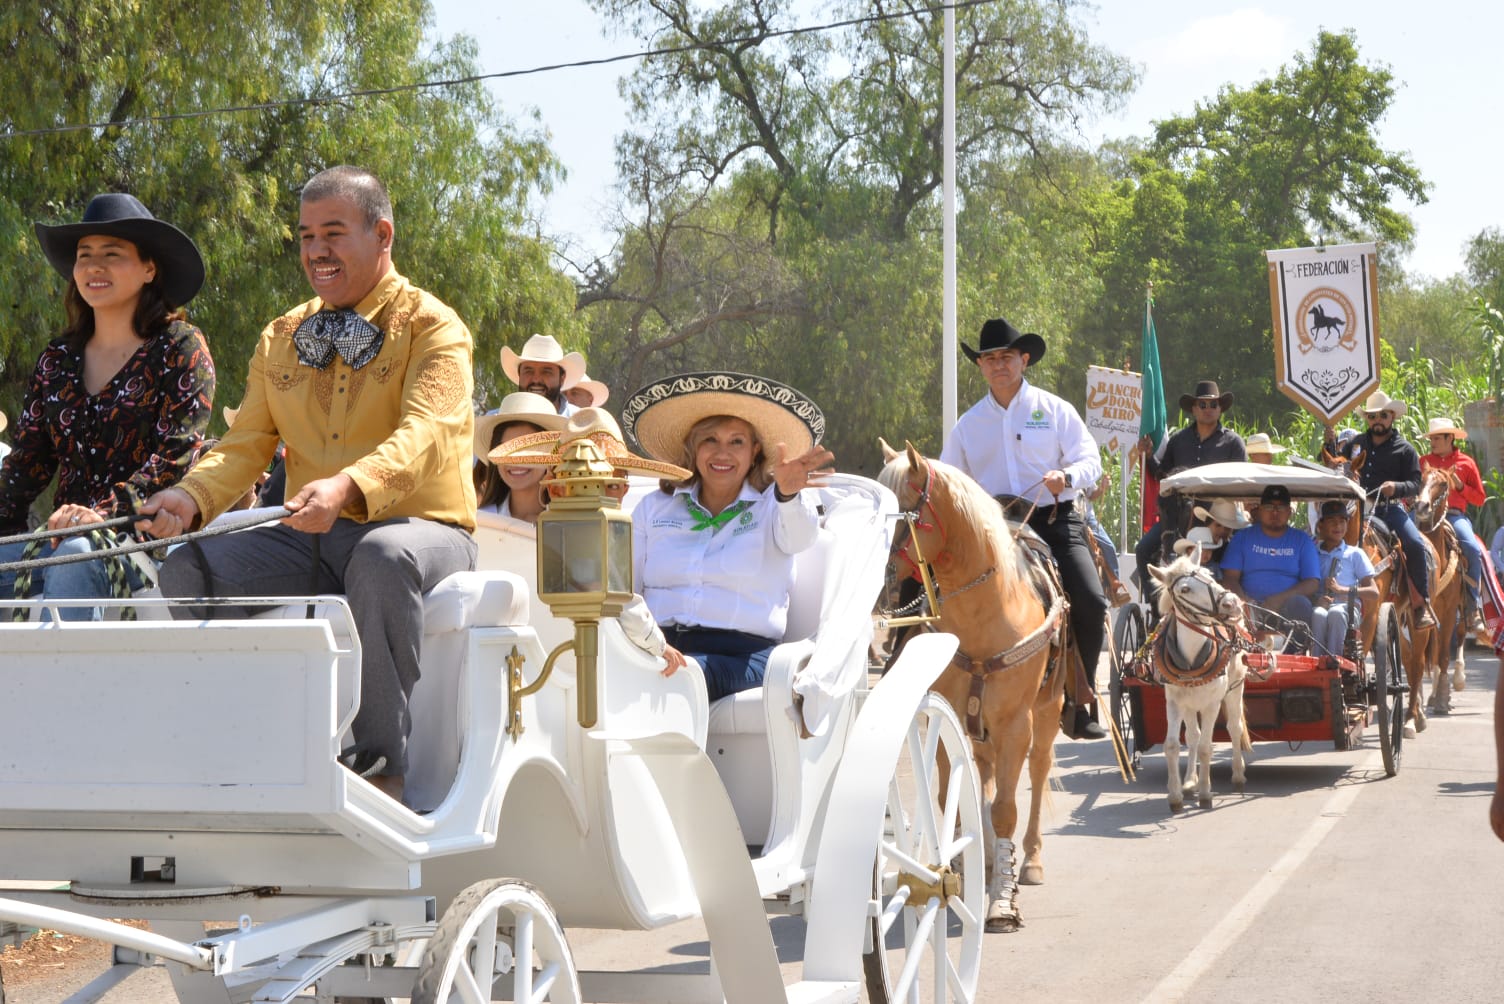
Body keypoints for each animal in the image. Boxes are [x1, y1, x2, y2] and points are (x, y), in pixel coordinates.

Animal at [878, 441, 1076, 931]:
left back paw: (1031, 860)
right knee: (982, 776)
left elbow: (1006, 808)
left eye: (903, 513)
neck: (985, 616)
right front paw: (960, 867)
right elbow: (950, 796)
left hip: (1046, 713)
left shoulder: (1014, 726)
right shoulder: (941, 715)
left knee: (1038, 772)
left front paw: (1003, 900)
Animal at [1143, 553, 1251, 811]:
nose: (1232, 602)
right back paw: (1190, 782)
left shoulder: (1213, 703)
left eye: (1209, 574)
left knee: (1234, 728)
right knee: (1192, 735)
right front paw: (1175, 795)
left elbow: (1205, 747)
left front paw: (1205, 792)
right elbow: (1173, 745)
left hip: (1235, 688)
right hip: (1190, 703)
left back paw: (1237, 774)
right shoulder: (1174, 701)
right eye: (1185, 589)